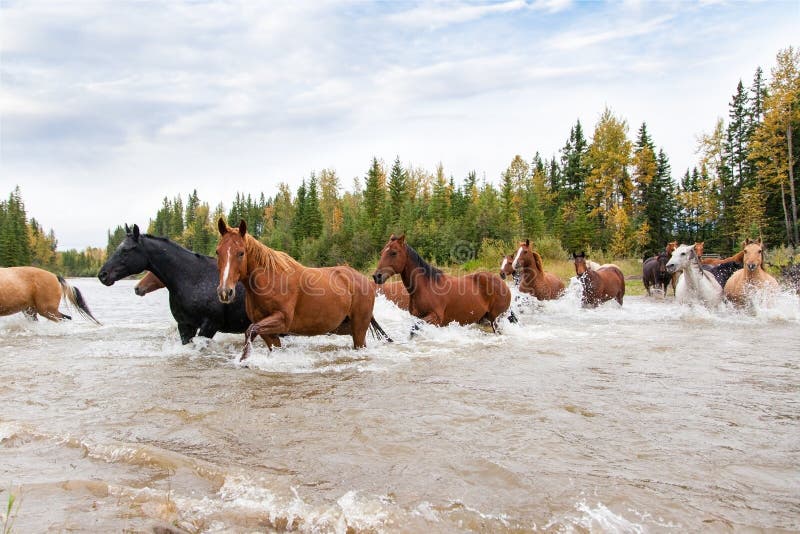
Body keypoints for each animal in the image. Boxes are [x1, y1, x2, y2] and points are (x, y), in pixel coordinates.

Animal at [216, 219, 390, 364]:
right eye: (218, 252)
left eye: (241, 253)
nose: (225, 292)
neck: (272, 279)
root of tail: (364, 279)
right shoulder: (268, 330)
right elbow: (260, 337)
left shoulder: (282, 320)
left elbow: (250, 331)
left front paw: (244, 359)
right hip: (345, 328)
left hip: (359, 327)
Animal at [370, 237, 512, 332]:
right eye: (382, 252)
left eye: (393, 252)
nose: (377, 276)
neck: (426, 286)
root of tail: (504, 285)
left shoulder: (435, 318)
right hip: (483, 320)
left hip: (496, 320)